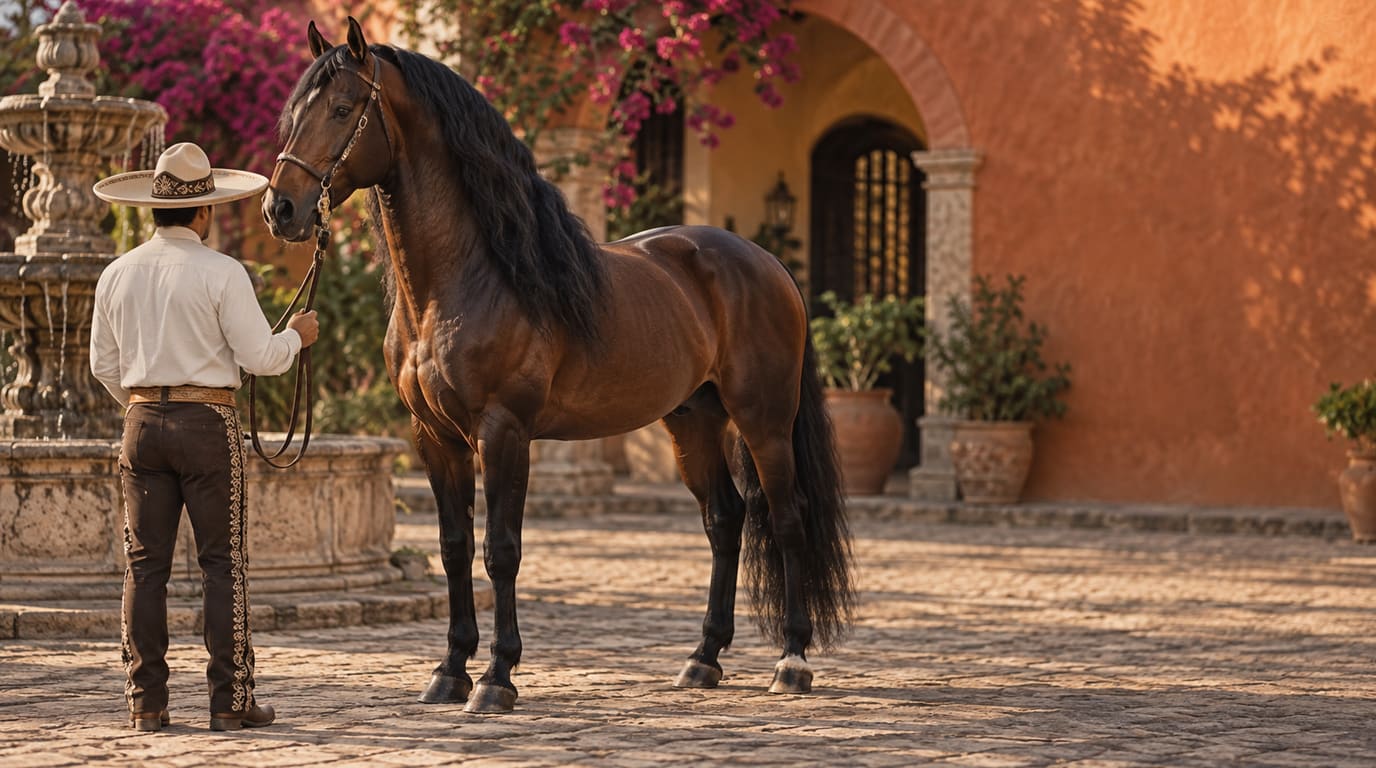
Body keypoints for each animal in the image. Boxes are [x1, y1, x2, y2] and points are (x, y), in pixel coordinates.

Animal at [263, 17, 854, 714]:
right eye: (292, 113)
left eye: (342, 108)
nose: (281, 210)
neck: (468, 279)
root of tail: (768, 262)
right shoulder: (433, 437)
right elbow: (455, 548)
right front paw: (449, 671)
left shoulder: (504, 432)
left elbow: (502, 551)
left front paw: (496, 678)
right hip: (693, 421)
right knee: (724, 520)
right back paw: (702, 659)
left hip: (764, 419)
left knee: (786, 520)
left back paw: (791, 662)